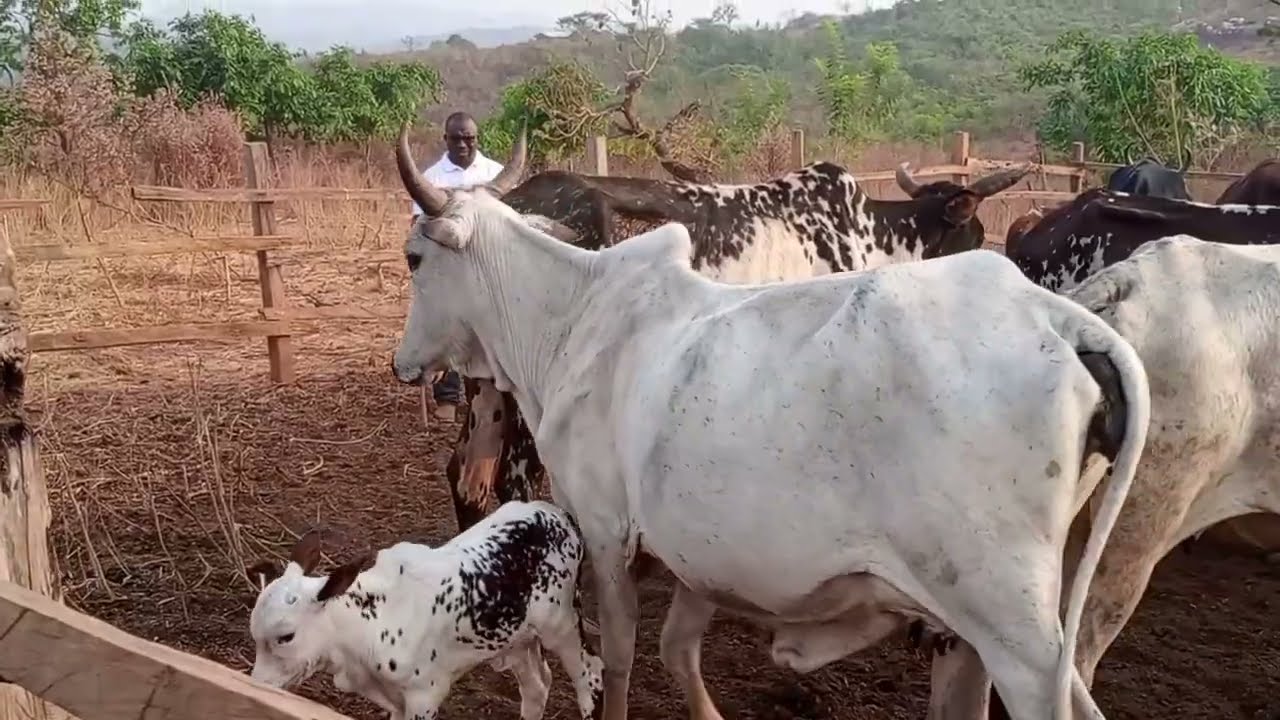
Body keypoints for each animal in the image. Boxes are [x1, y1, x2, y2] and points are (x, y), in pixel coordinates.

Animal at [246, 500, 604, 720]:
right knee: (536, 687)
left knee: (591, 674)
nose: (257, 683)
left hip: (561, 624)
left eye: (286, 636)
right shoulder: (396, 701)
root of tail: (559, 515)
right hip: (516, 639)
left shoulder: (425, 694)